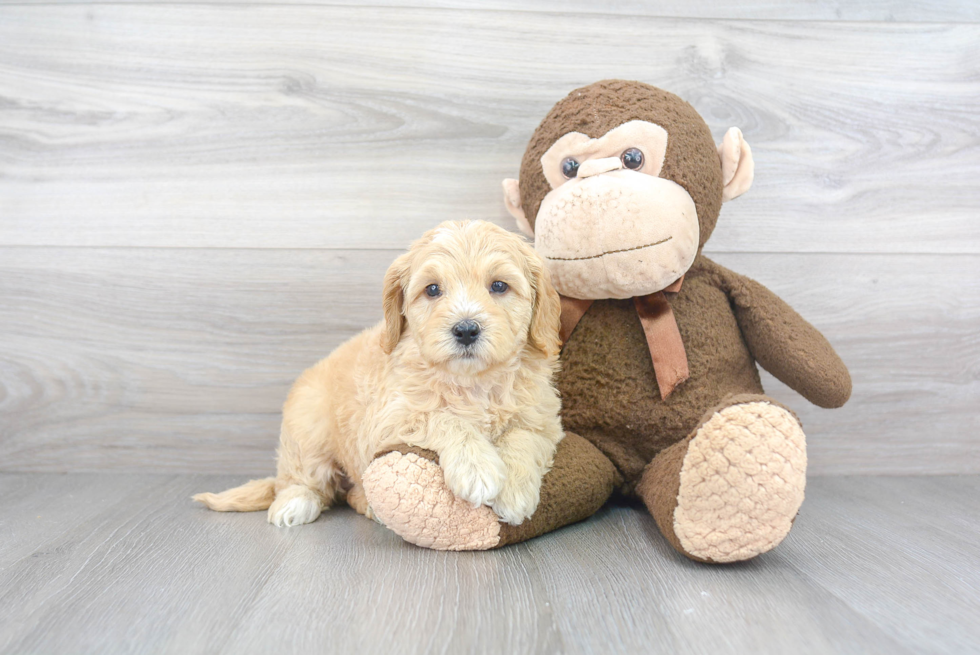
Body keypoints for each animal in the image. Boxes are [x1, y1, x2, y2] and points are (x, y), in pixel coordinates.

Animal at [195, 220, 564, 528]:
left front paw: (515, 491)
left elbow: (523, 437)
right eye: (432, 289)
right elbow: (442, 417)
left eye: (499, 286)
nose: (466, 330)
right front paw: (477, 468)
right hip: (307, 429)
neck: (473, 381)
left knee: (348, 493)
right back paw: (295, 503)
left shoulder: (543, 417)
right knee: (303, 480)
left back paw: (370, 506)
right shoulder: (388, 418)